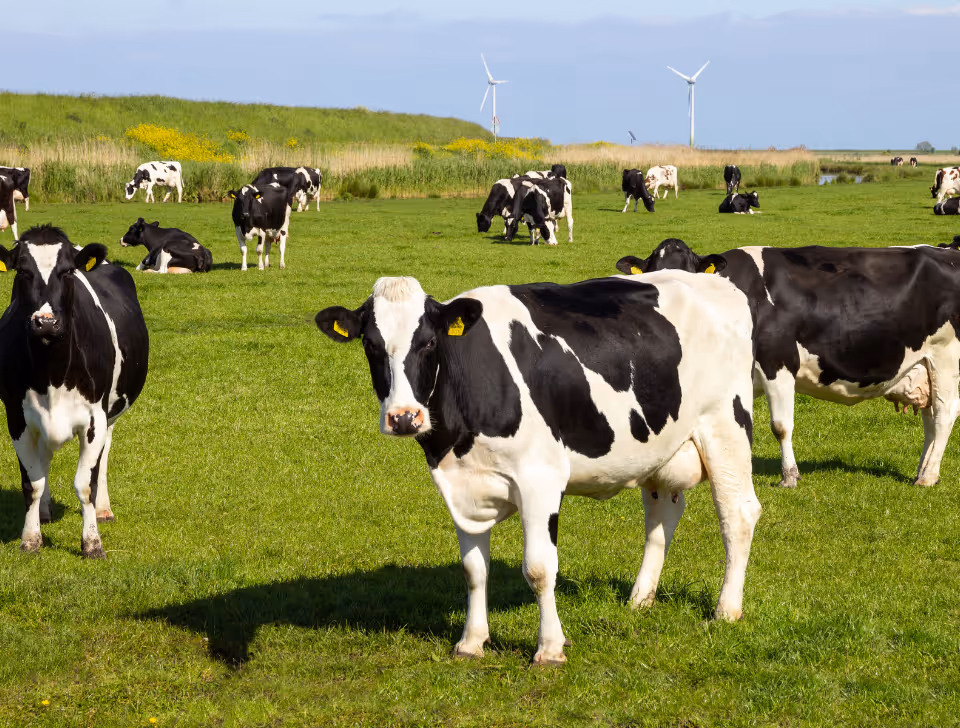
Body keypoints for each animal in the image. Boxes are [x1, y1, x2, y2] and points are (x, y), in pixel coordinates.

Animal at [0, 225, 149, 557]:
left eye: (67, 271)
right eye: (23, 271)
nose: (45, 322)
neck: (51, 373)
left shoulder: (95, 419)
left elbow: (85, 485)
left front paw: (92, 543)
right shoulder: (17, 419)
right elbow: (32, 483)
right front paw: (30, 538)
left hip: (110, 414)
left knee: (103, 457)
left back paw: (104, 509)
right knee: (44, 460)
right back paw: (44, 511)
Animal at [315, 271, 760, 664]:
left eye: (428, 342)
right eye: (371, 345)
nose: (405, 417)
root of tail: (715, 281)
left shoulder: (540, 480)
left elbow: (540, 568)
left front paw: (549, 649)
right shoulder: (461, 484)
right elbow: (474, 569)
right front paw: (471, 642)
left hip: (725, 425)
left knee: (738, 513)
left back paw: (726, 609)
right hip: (660, 447)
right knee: (662, 515)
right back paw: (640, 599)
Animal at [616, 236, 960, 489]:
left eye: (688, 273)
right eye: (652, 272)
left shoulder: (778, 362)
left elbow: (781, 426)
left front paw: (789, 477)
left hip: (947, 355)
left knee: (945, 413)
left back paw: (927, 477)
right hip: (924, 364)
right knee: (930, 418)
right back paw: (923, 469)